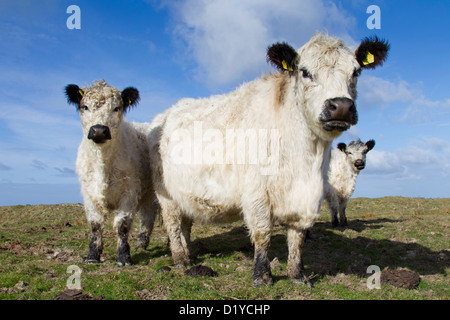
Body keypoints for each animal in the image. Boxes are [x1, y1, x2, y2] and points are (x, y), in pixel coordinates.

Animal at [65, 80, 158, 268]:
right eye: (85, 106)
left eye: (116, 108)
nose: (99, 130)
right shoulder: (88, 193)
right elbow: (96, 225)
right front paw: (92, 255)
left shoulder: (129, 192)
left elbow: (122, 225)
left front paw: (123, 256)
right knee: (148, 213)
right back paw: (141, 244)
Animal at [149, 32, 388, 286]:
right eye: (305, 72)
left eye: (356, 72)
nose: (341, 106)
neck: (305, 158)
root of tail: (164, 115)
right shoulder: (257, 193)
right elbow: (263, 233)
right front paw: (262, 275)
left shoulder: (306, 196)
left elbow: (297, 237)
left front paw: (297, 274)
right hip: (166, 196)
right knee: (173, 225)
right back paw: (180, 260)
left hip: (184, 194)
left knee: (185, 224)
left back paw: (191, 255)